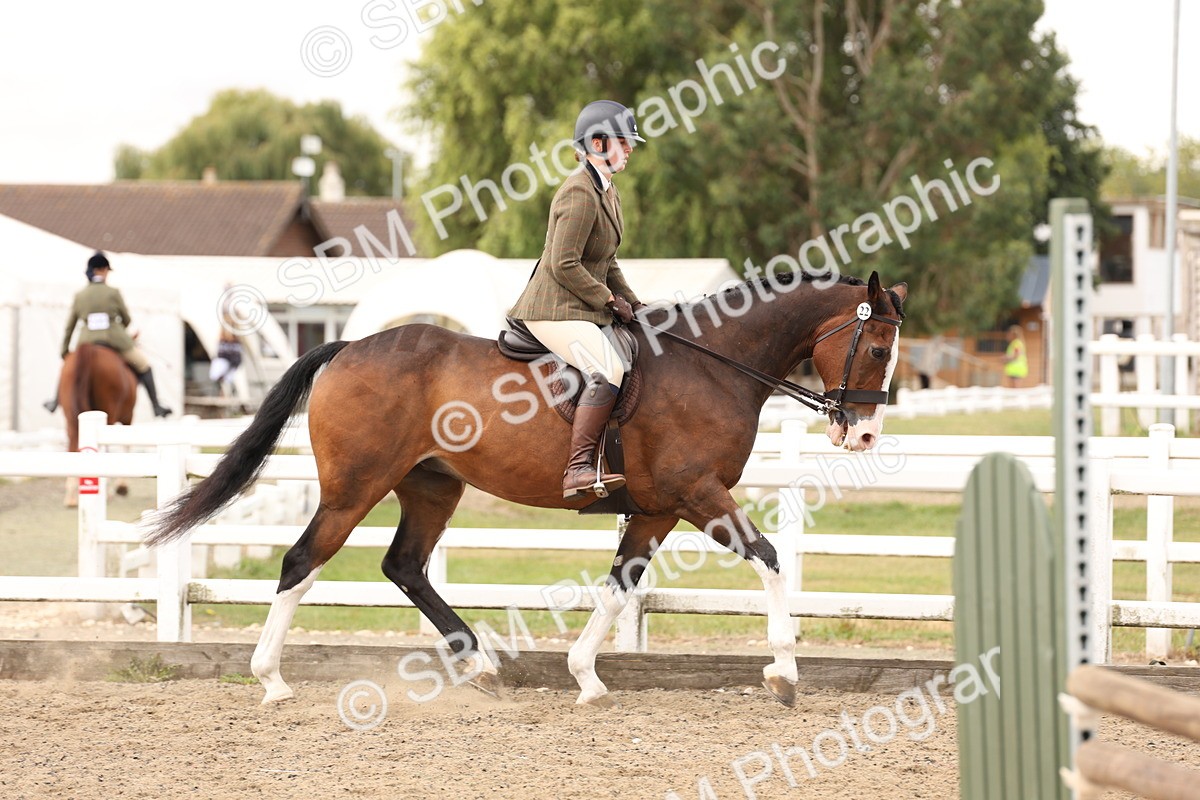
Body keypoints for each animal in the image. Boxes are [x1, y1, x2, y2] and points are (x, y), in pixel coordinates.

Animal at [57, 343, 138, 507]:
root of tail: (90, 349)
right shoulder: (128, 416)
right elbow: (126, 445)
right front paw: (122, 486)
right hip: (110, 412)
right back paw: (106, 491)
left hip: (70, 414)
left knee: (72, 441)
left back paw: (71, 496)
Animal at [145, 270, 908, 708]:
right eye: (877, 348)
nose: (866, 436)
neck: (715, 365)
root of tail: (348, 348)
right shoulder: (699, 494)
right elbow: (771, 560)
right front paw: (784, 673)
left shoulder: (658, 510)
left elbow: (620, 585)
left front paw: (586, 677)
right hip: (355, 487)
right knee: (303, 562)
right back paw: (271, 679)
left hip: (431, 487)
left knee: (405, 566)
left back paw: (480, 666)